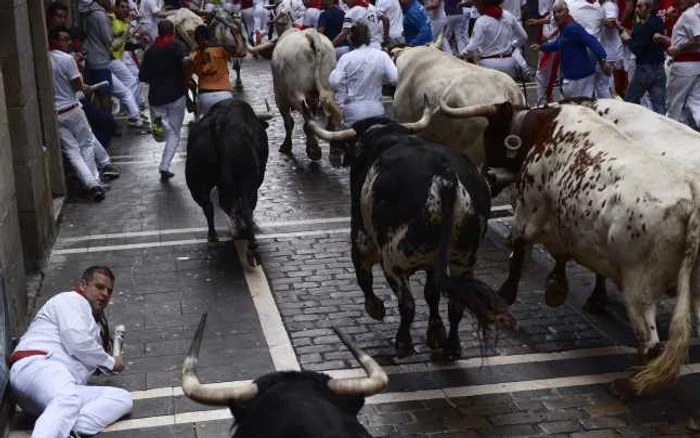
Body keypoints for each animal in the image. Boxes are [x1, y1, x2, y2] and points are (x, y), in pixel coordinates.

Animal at [185, 99, 272, 266]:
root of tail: (219, 122)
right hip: (248, 179)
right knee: (246, 208)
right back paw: (251, 246)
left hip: (196, 181)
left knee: (208, 206)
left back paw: (213, 237)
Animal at [304, 105, 516, 360]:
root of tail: (445, 179)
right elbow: (432, 293)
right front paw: (436, 331)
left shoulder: (361, 239)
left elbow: (364, 278)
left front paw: (375, 308)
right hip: (463, 260)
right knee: (455, 304)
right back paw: (451, 346)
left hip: (394, 259)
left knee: (407, 303)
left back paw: (403, 343)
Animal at [440, 101, 700, 398]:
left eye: (491, 137)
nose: (488, 177)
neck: (544, 127)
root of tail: (690, 197)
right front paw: (558, 287)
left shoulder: (529, 209)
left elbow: (519, 251)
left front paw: (507, 294)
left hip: (640, 285)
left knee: (650, 341)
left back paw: (629, 384)